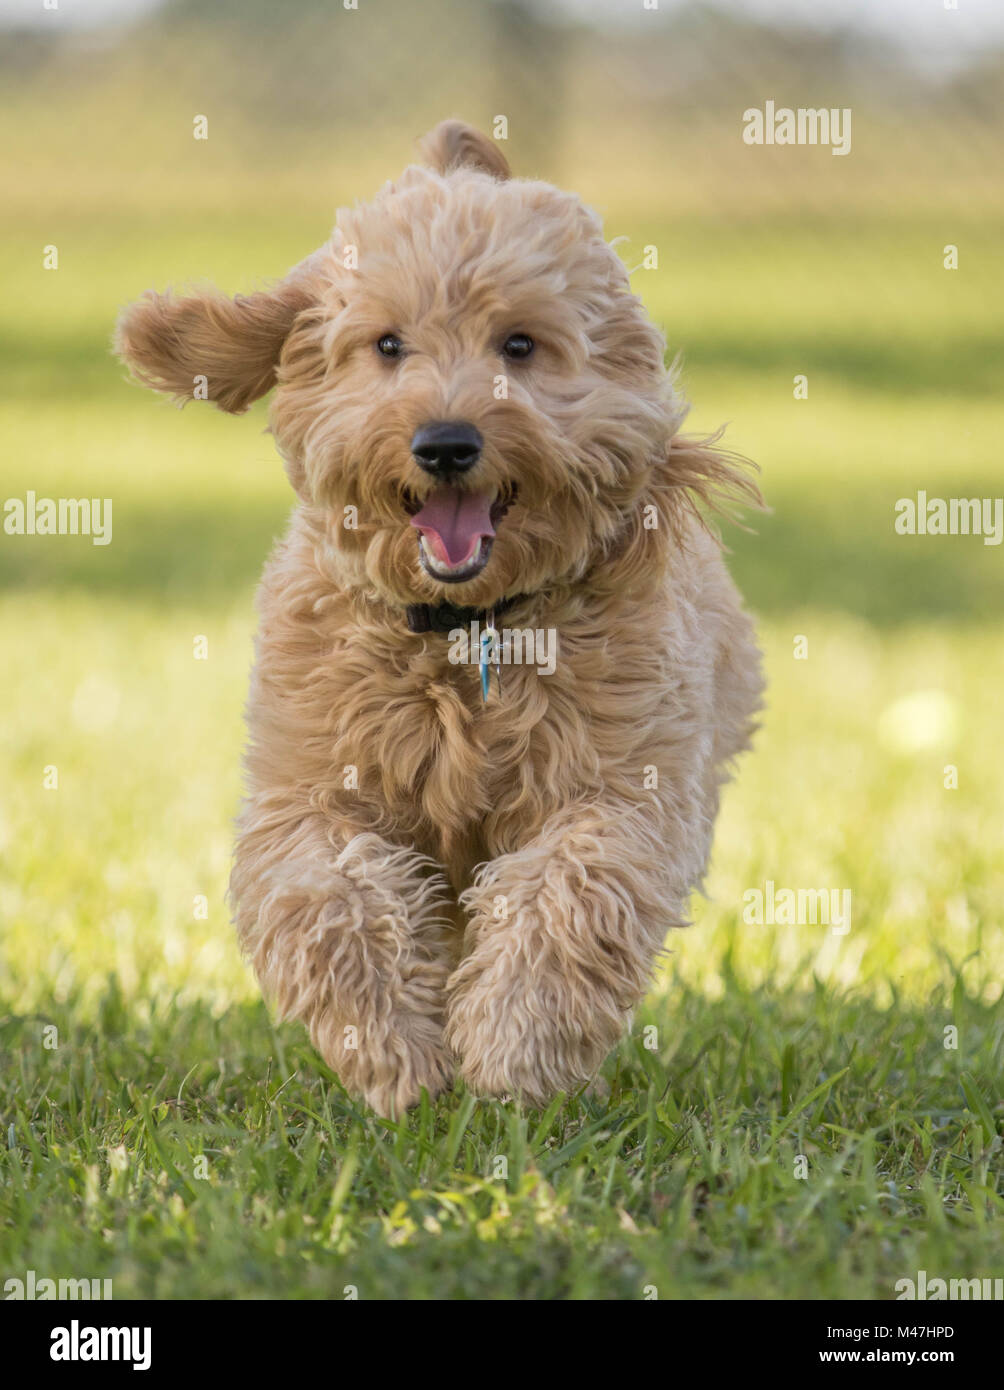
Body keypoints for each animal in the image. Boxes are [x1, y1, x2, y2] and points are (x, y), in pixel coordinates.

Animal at [115, 122, 756, 1117]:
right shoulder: (308, 792)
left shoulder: (624, 792)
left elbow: (571, 892)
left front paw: (512, 1051)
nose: (446, 443)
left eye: (520, 344)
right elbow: (325, 900)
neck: (463, 635)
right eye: (387, 344)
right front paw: (394, 1053)